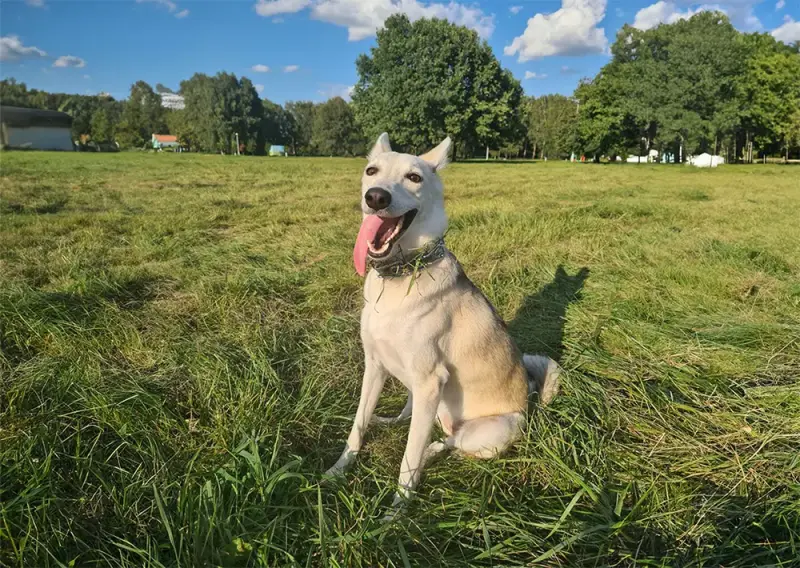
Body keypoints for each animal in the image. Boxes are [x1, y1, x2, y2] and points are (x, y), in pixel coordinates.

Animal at [324, 132, 564, 516]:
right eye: (371, 171)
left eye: (414, 177)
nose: (375, 196)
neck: (401, 274)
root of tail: (530, 397)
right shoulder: (375, 366)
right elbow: (357, 426)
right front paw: (337, 470)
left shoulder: (429, 382)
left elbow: (408, 458)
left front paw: (396, 513)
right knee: (414, 422)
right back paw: (391, 423)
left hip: (492, 431)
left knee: (450, 442)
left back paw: (433, 451)